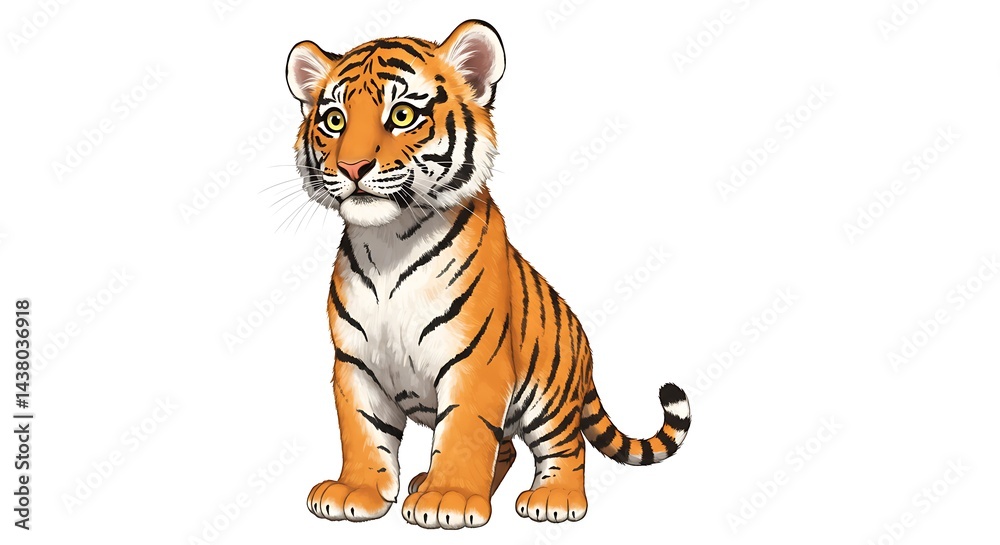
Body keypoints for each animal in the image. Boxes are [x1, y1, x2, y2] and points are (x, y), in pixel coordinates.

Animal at [284, 20, 690, 529]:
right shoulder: (355, 362)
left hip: (549, 398)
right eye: (334, 121)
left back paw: (553, 499)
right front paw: (356, 491)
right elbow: (362, 429)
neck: (389, 242)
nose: (352, 166)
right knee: (507, 450)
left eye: (402, 115)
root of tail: (584, 348)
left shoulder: (475, 361)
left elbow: (463, 430)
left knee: (566, 445)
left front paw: (448, 499)